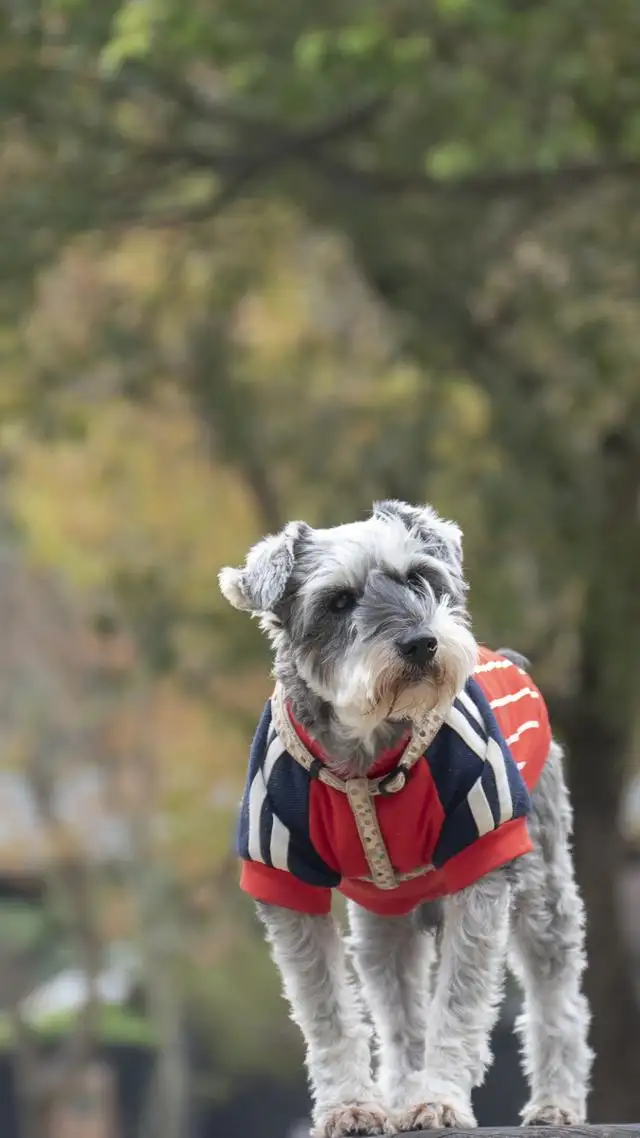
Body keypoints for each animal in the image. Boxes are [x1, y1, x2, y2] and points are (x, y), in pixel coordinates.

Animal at [218, 502, 592, 1133]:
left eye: (418, 576)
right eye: (338, 601)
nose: (422, 644)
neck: (365, 756)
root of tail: (510, 658)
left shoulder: (482, 868)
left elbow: (460, 1003)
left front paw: (440, 1100)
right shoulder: (286, 883)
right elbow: (328, 1014)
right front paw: (351, 1107)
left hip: (542, 887)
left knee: (556, 994)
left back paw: (555, 1104)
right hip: (381, 922)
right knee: (399, 1016)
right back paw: (398, 1095)